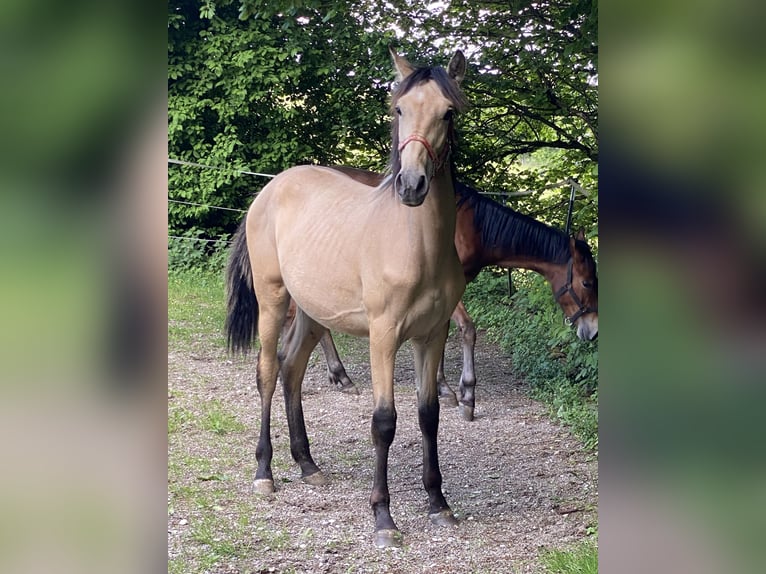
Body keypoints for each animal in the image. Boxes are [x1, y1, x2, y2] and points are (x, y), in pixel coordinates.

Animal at [225, 47, 468, 549]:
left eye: (448, 113)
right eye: (399, 109)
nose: (411, 185)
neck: (417, 245)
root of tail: (269, 188)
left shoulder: (432, 336)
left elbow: (429, 414)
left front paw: (439, 504)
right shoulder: (384, 336)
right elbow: (384, 422)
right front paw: (383, 518)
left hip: (312, 313)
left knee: (292, 371)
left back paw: (307, 464)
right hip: (273, 301)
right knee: (267, 372)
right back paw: (265, 472)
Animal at [302, 171, 599, 421]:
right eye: (586, 282)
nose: (593, 330)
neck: (472, 227)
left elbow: (442, 335)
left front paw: (441, 387)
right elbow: (466, 330)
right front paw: (466, 395)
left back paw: (339, 376)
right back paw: (341, 376)